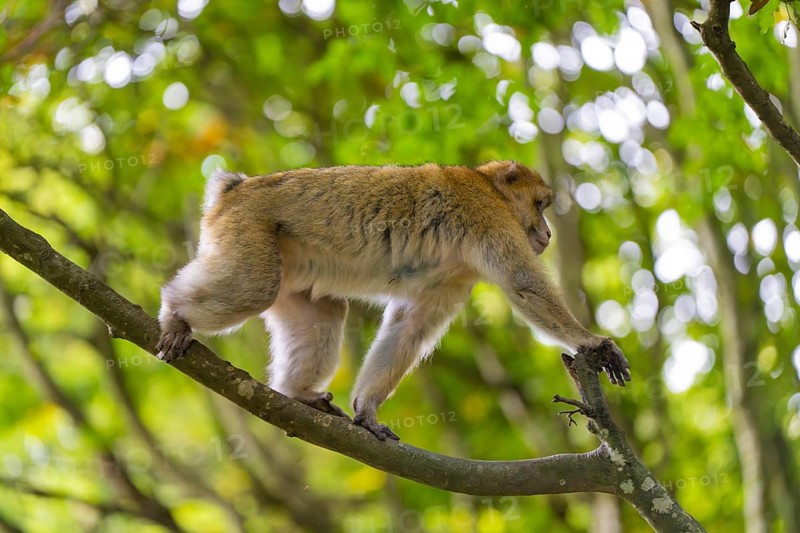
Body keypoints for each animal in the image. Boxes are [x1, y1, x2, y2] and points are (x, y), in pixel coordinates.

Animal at [156, 161, 630, 440]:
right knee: (254, 286)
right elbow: (523, 284)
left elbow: (411, 326)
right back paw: (175, 316)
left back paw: (297, 392)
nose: (547, 234)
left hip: (288, 269)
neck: (487, 186)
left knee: (323, 312)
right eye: (541, 204)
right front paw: (593, 344)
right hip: (247, 230)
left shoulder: (456, 276)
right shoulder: (488, 216)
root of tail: (235, 189)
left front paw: (366, 410)